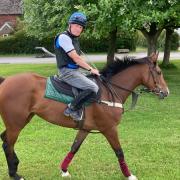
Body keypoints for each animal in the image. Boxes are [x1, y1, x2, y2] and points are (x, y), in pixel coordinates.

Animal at [0, 52, 169, 180]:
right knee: (8, 144)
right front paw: (128, 175)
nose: (166, 92)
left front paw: (64, 170)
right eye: (159, 72)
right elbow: (119, 151)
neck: (109, 91)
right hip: (16, 124)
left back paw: (15, 166)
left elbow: (74, 147)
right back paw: (14, 173)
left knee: (5, 139)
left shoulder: (85, 128)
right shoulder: (110, 129)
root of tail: (6, 81)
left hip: (22, 120)